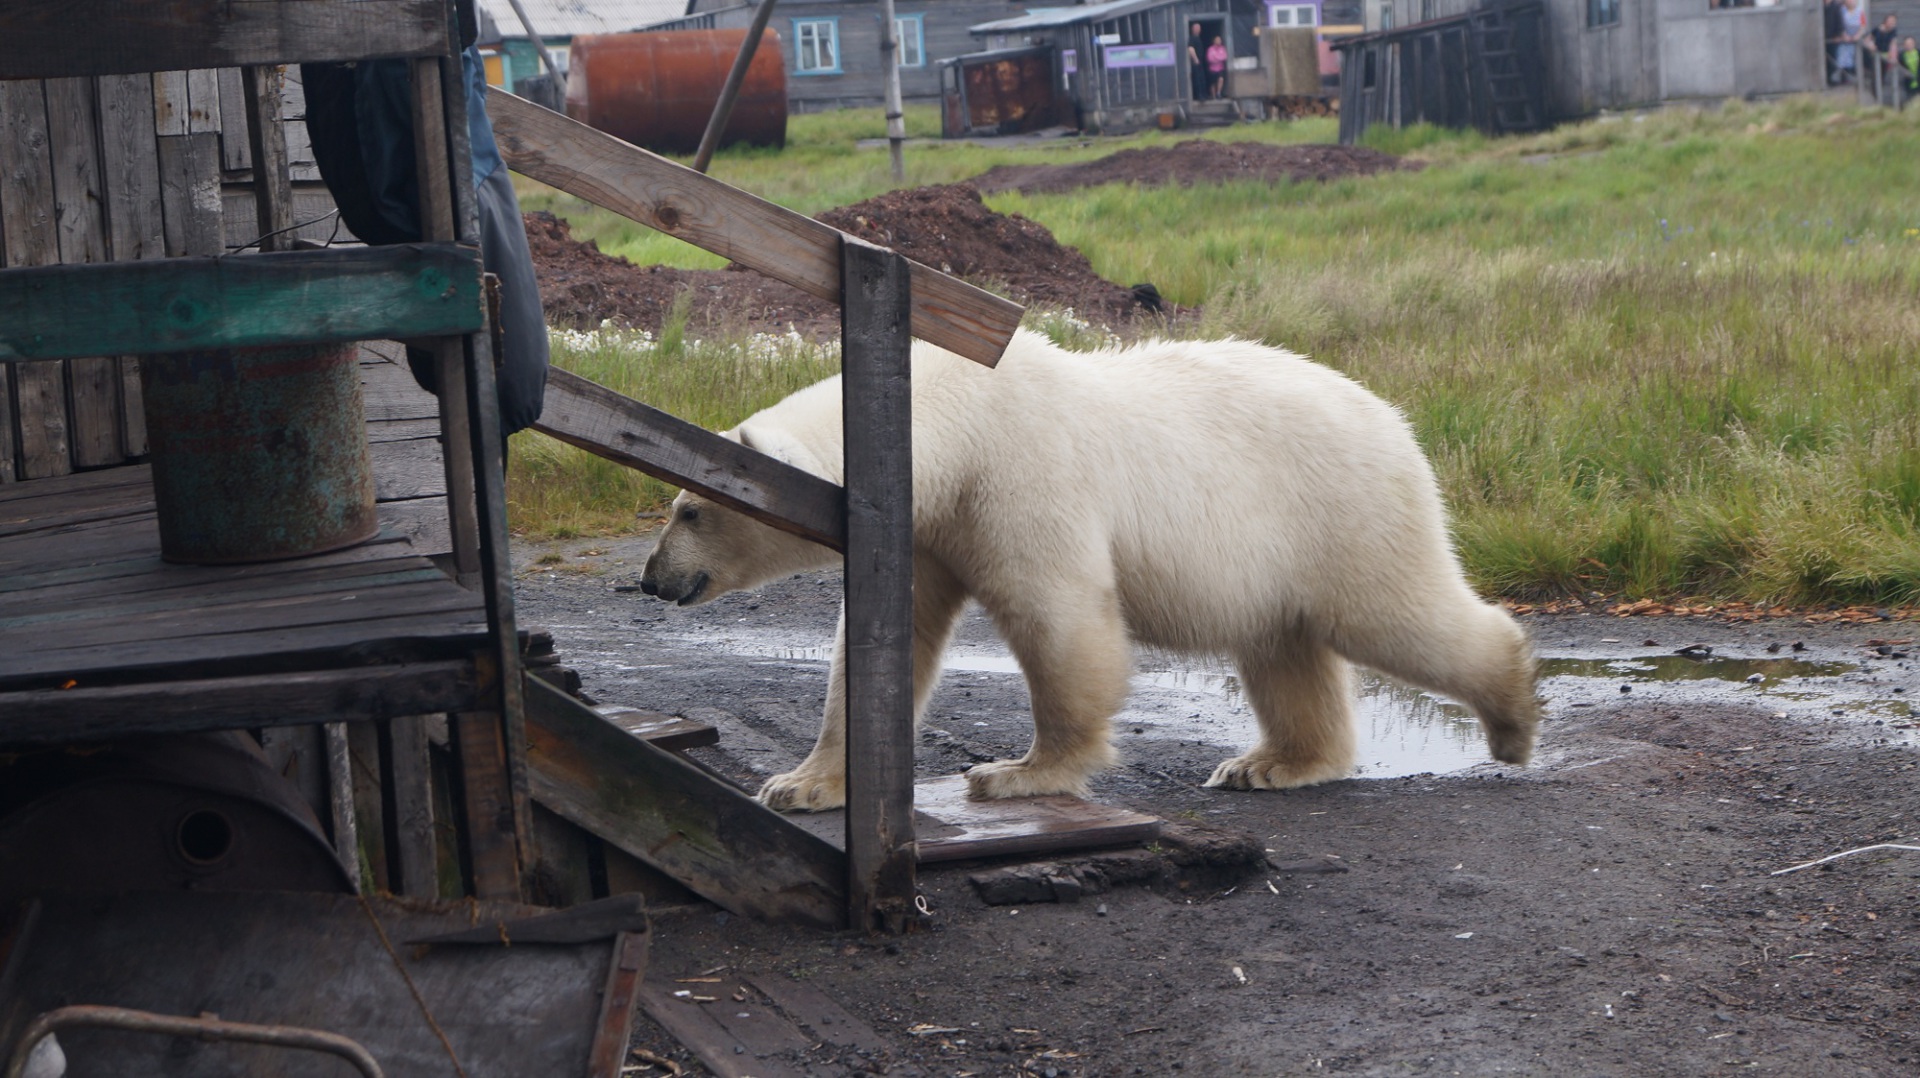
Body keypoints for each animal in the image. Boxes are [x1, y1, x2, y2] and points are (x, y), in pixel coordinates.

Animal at [637, 328, 1536, 807]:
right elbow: (879, 646)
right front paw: (801, 783)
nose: (651, 577)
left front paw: (1017, 773)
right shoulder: (930, 527)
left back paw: (1514, 716)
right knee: (1284, 649)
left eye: (689, 511)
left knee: (1396, 614)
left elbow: (1058, 616)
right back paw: (1266, 764)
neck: (956, 421)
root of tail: (1395, 418)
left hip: (1339, 510)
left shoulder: (1018, 478)